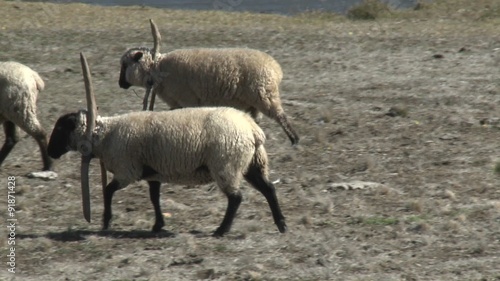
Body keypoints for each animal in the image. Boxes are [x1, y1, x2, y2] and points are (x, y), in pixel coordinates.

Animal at [120, 19, 300, 144]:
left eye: (125, 64)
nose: (121, 84)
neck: (158, 68)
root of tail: (276, 68)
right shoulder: (179, 102)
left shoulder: (188, 99)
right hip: (255, 101)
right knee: (257, 119)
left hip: (264, 95)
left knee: (280, 116)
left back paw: (294, 139)